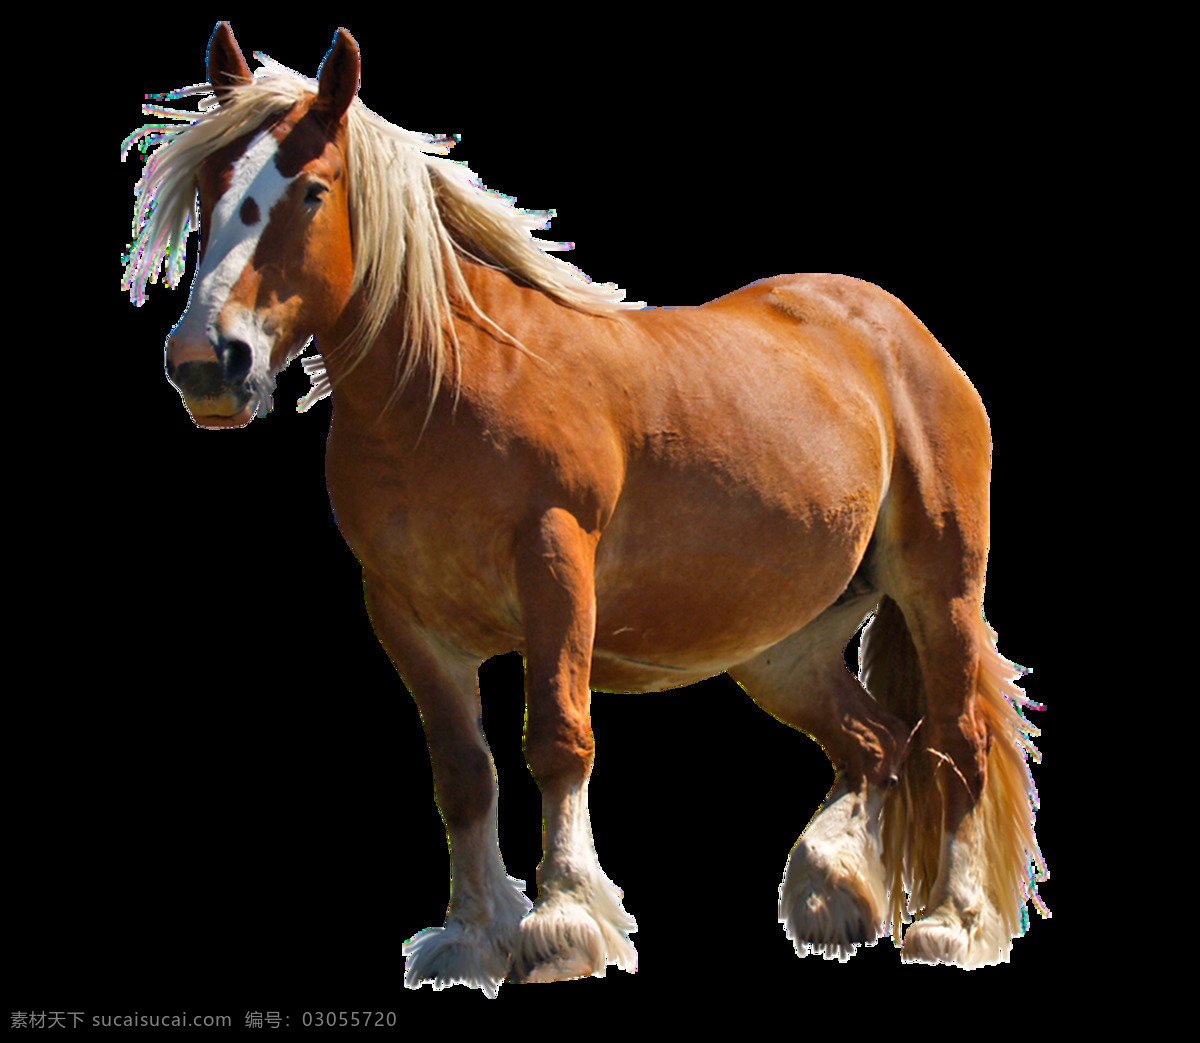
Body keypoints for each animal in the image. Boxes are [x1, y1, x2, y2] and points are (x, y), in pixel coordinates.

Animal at [122, 22, 1046, 994]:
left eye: (310, 190)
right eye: (211, 191)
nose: (206, 362)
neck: (450, 389)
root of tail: (900, 333)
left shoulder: (556, 569)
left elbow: (560, 741)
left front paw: (563, 922)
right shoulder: (408, 617)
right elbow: (463, 772)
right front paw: (471, 934)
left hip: (939, 591)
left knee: (955, 745)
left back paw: (947, 922)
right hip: (783, 646)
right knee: (875, 743)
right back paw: (833, 892)